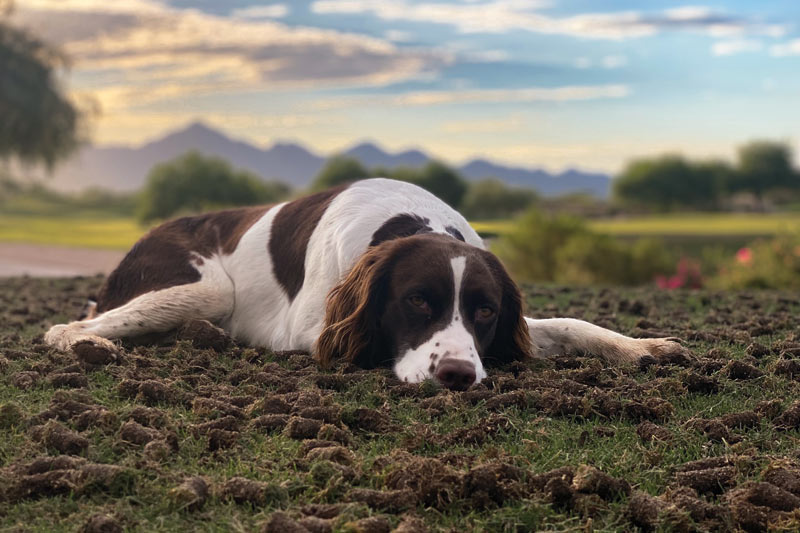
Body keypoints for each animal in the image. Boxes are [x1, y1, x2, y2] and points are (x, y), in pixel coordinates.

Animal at [43, 177, 684, 388]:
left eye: (484, 311)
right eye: (417, 301)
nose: (457, 376)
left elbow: (572, 324)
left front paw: (644, 346)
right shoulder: (309, 330)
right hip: (204, 285)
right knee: (63, 325)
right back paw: (91, 346)